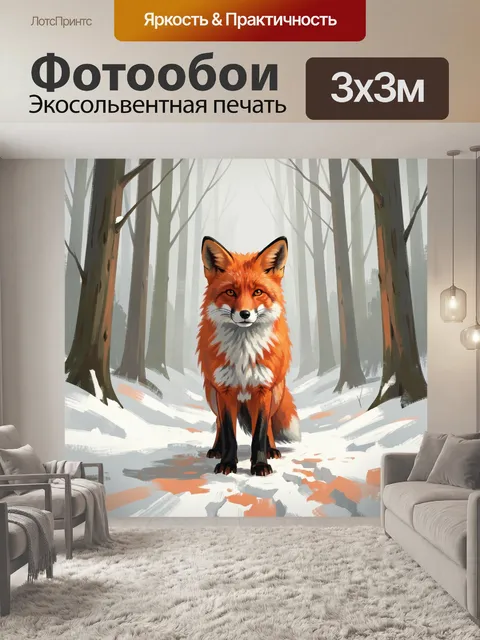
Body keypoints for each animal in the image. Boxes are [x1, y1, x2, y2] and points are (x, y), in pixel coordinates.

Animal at [196, 235, 300, 477]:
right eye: (231, 292)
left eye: (258, 292)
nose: (244, 314)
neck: (243, 353)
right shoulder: (224, 390)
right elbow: (228, 432)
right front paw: (227, 463)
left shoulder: (263, 389)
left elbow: (259, 432)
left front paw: (260, 464)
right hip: (211, 394)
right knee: (217, 422)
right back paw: (216, 449)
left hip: (276, 393)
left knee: (269, 424)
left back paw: (272, 449)